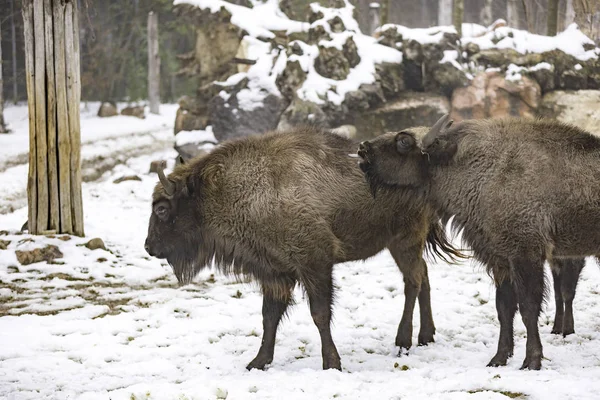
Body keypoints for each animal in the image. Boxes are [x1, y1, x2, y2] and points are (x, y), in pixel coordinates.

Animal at [144, 126, 460, 370]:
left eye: (161, 209)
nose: (149, 246)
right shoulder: (274, 271)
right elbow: (269, 317)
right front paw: (258, 362)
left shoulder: (314, 264)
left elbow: (319, 314)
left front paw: (331, 363)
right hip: (403, 243)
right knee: (423, 275)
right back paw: (426, 336)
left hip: (405, 240)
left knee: (412, 281)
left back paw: (403, 341)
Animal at [358, 115, 596, 368]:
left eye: (404, 141)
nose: (363, 149)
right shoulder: (501, 261)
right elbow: (504, 309)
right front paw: (498, 359)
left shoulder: (525, 256)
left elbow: (528, 309)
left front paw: (531, 361)